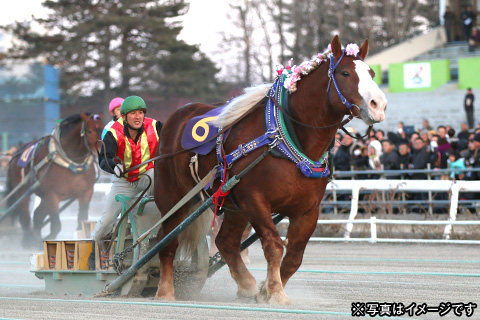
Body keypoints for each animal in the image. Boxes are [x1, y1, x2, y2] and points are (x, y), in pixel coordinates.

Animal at [5, 112, 103, 248]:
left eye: (103, 127)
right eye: (89, 131)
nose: (102, 149)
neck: (71, 161)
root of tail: (15, 155)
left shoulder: (86, 192)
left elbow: (81, 219)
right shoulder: (52, 195)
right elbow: (56, 224)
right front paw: (47, 239)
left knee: (37, 215)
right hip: (22, 191)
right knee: (25, 216)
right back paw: (28, 240)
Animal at [154, 36, 386, 304]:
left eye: (371, 73)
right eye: (345, 73)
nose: (378, 104)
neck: (286, 139)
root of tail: (175, 117)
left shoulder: (308, 209)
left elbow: (294, 255)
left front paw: (266, 290)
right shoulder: (254, 200)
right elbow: (274, 246)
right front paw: (276, 292)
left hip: (233, 206)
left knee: (226, 242)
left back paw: (246, 286)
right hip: (173, 198)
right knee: (166, 242)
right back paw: (165, 291)